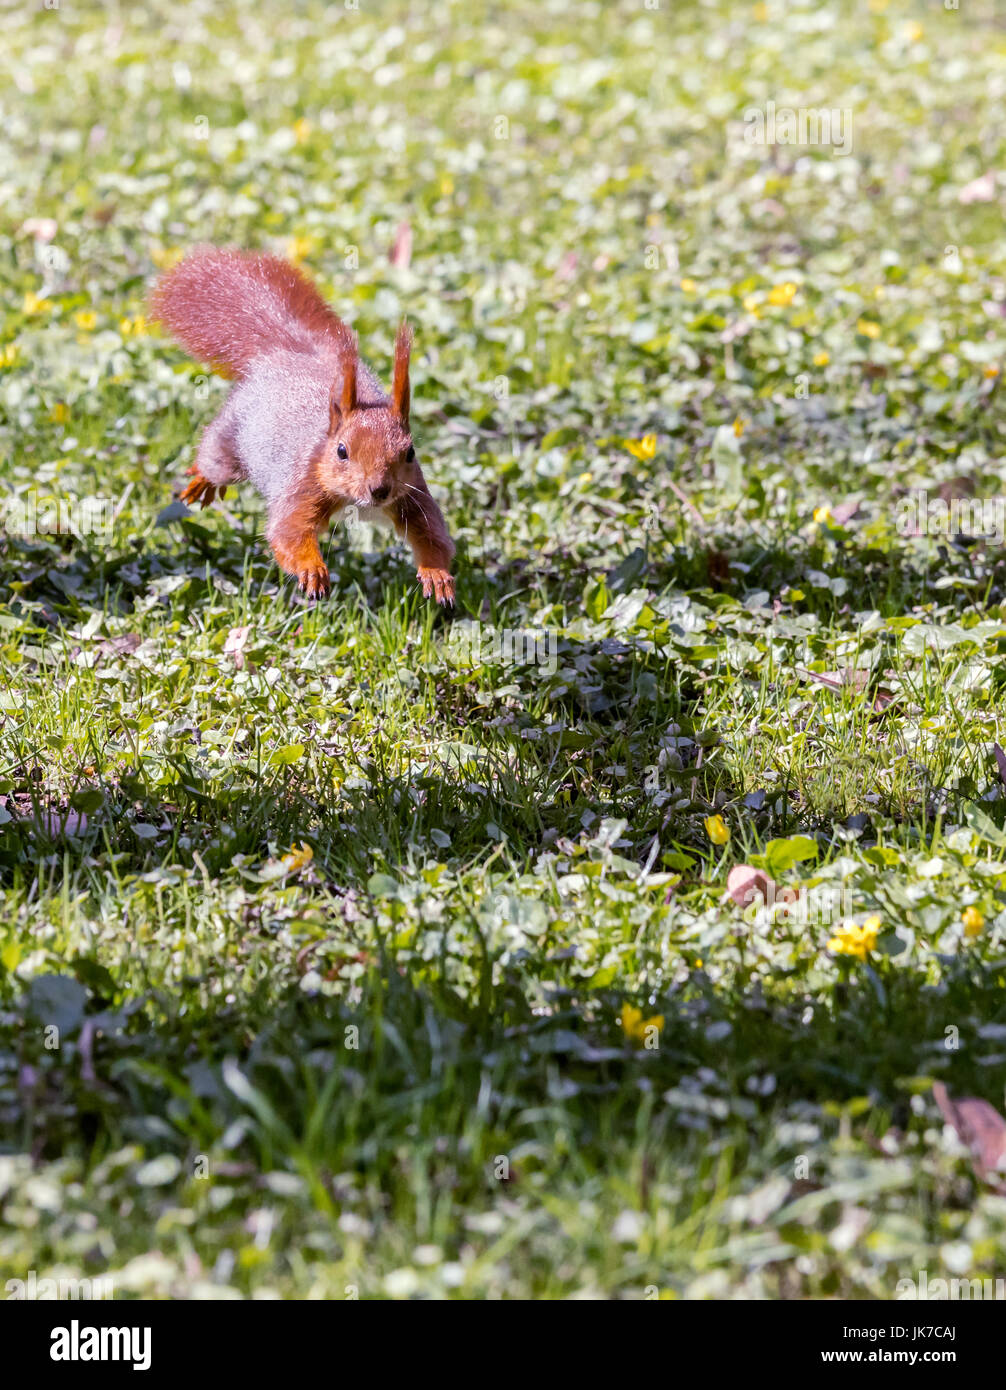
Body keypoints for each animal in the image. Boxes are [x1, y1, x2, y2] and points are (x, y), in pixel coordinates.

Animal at [150, 248, 455, 603]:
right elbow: (288, 531)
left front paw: (437, 574)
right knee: (216, 457)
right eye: (341, 451)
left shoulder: (412, 494)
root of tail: (284, 354)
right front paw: (312, 570)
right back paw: (202, 479)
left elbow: (432, 534)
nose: (379, 490)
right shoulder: (305, 483)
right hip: (233, 435)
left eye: (410, 453)